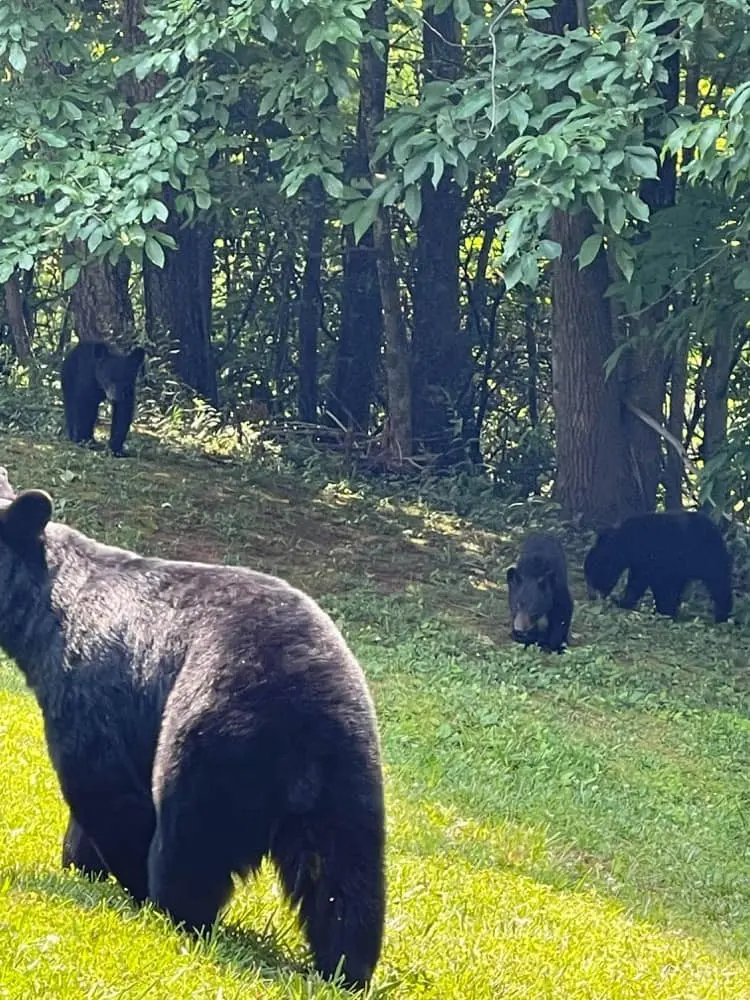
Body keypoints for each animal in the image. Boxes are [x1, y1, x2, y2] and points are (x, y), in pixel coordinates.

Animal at [0, 470, 388, 992]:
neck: (42, 610)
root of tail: (300, 723)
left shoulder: (90, 684)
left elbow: (101, 782)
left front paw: (111, 872)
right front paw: (80, 860)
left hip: (210, 738)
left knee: (188, 842)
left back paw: (171, 910)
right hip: (350, 770)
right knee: (345, 878)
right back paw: (345, 967)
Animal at [588, 512, 736, 620]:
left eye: (593, 578)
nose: (593, 596)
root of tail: (716, 530)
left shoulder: (651, 557)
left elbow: (640, 582)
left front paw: (622, 602)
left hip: (709, 558)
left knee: (719, 584)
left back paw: (722, 615)